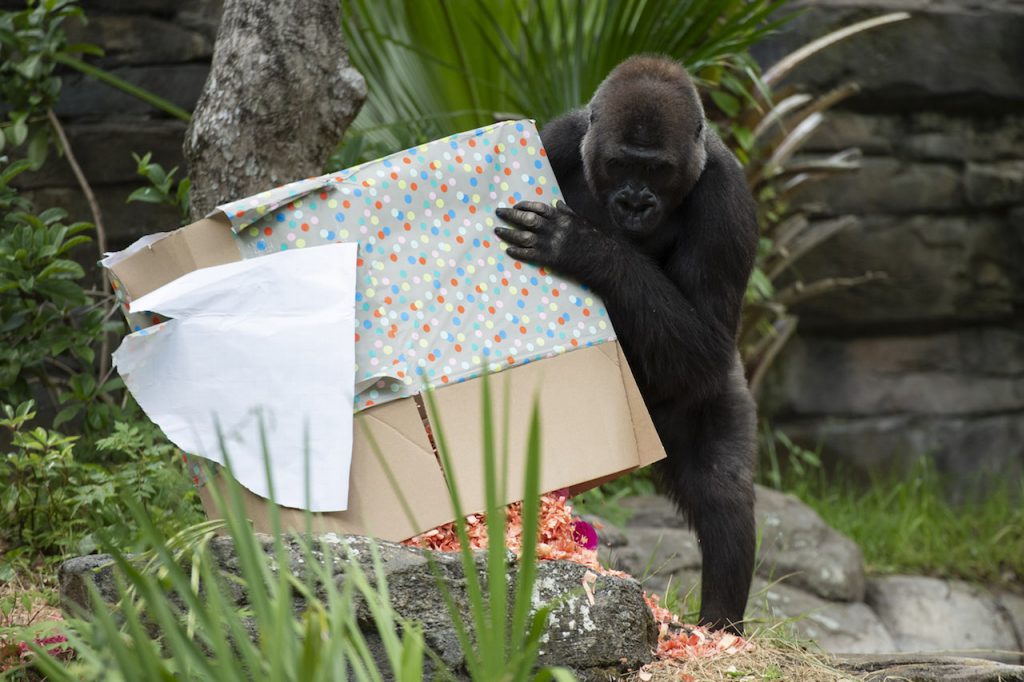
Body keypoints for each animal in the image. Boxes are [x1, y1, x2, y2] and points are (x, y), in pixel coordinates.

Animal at [495, 55, 759, 634]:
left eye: (657, 170)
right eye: (619, 164)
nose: (635, 201)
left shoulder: (727, 197)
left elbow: (707, 340)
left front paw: (581, 246)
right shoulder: (561, 137)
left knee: (722, 484)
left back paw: (719, 629)